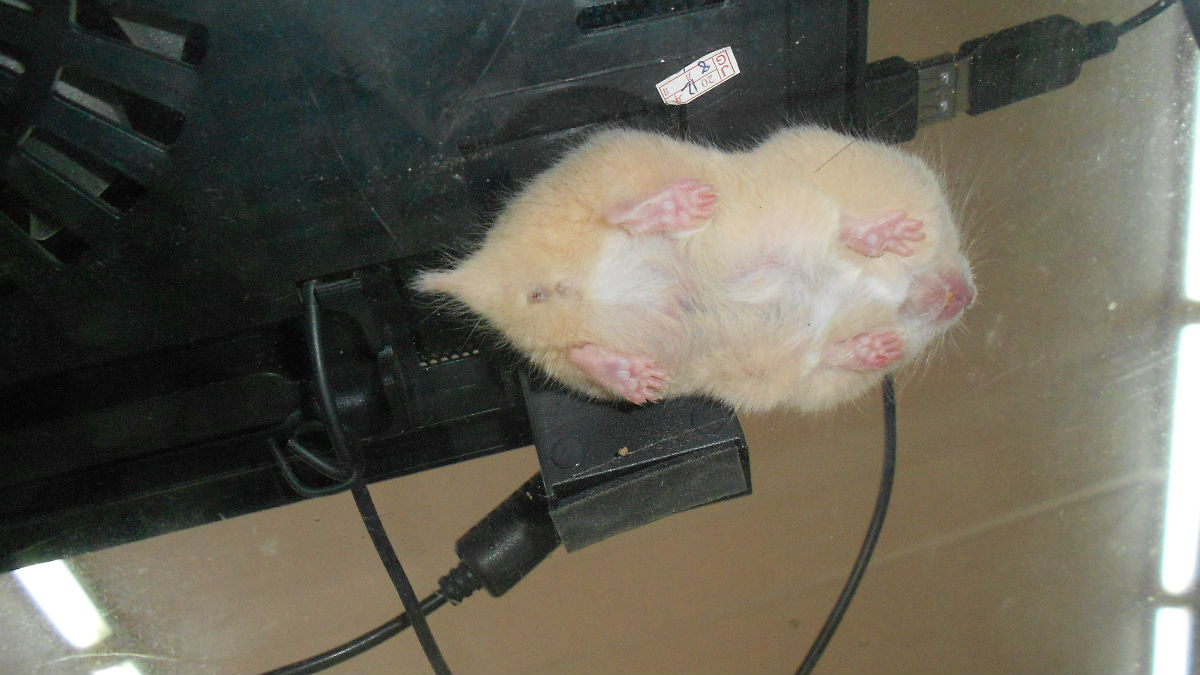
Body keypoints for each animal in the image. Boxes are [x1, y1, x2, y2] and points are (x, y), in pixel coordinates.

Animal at [414, 126, 975, 413]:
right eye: (943, 235)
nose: (967, 294)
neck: (875, 289)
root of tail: (486, 277)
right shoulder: (803, 194)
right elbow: (845, 227)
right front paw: (898, 234)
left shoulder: (789, 374)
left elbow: (830, 352)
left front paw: (880, 347)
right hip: (611, 162)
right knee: (618, 213)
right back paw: (682, 205)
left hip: (560, 358)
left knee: (581, 353)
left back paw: (636, 378)